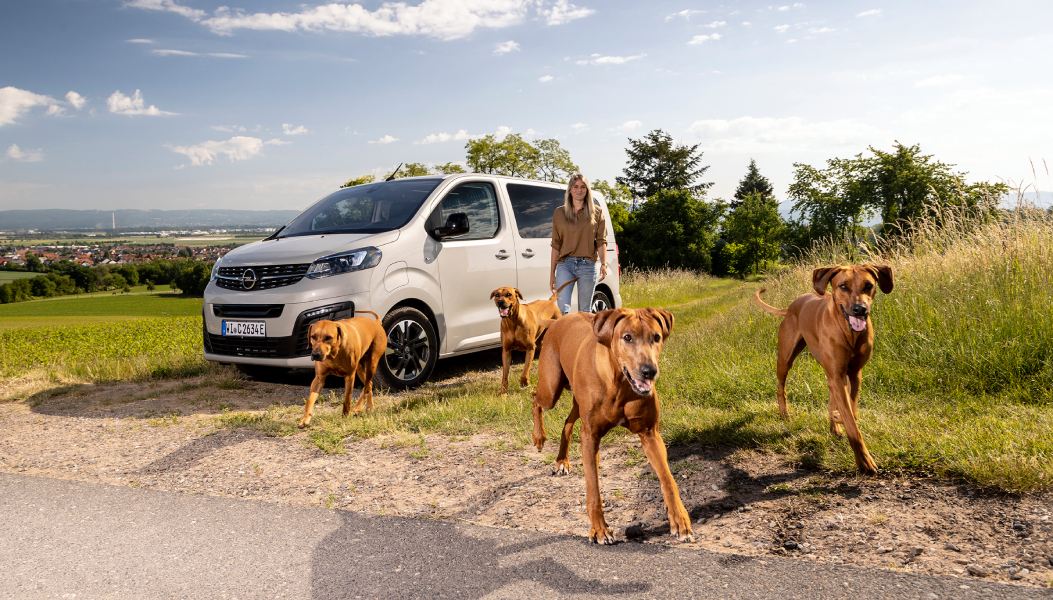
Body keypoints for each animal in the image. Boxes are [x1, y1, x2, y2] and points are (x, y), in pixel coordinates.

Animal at [526, 305, 690, 543]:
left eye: (657, 337)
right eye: (627, 337)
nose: (649, 371)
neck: (619, 383)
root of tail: (560, 319)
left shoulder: (650, 434)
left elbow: (668, 481)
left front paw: (680, 520)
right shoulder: (590, 436)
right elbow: (593, 490)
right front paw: (600, 530)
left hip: (576, 399)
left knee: (567, 422)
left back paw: (562, 460)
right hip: (551, 386)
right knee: (535, 397)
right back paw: (539, 436)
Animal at [753, 264, 892, 473]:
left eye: (868, 285)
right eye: (843, 286)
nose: (860, 309)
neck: (848, 331)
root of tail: (792, 305)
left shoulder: (854, 374)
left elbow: (852, 410)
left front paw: (837, 419)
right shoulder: (837, 375)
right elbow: (851, 421)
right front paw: (865, 461)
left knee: (832, 396)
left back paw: (834, 424)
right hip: (785, 359)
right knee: (781, 388)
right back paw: (785, 415)